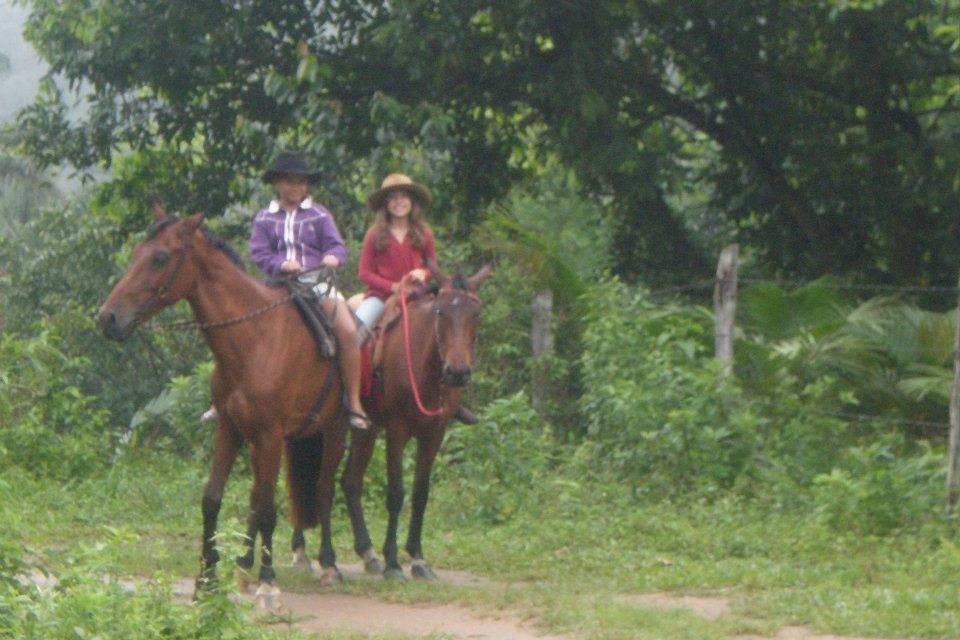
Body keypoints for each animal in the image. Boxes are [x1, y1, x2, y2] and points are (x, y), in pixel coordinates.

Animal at [97, 211, 350, 604]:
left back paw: (327, 564)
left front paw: (268, 582)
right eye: (137, 252)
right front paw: (206, 580)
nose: (108, 318)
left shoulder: (270, 434)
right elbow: (214, 499)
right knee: (261, 494)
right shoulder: (230, 429)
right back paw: (244, 565)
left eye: (159, 258)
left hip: (333, 429)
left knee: (322, 489)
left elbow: (268, 508)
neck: (254, 338)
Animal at [296, 264, 492, 580]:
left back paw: (367, 552)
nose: (457, 373)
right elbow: (396, 493)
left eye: (476, 313)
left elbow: (421, 494)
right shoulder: (397, 432)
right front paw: (393, 562)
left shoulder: (434, 434)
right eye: (440, 312)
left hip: (366, 430)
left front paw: (418, 558)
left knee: (350, 482)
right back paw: (305, 552)